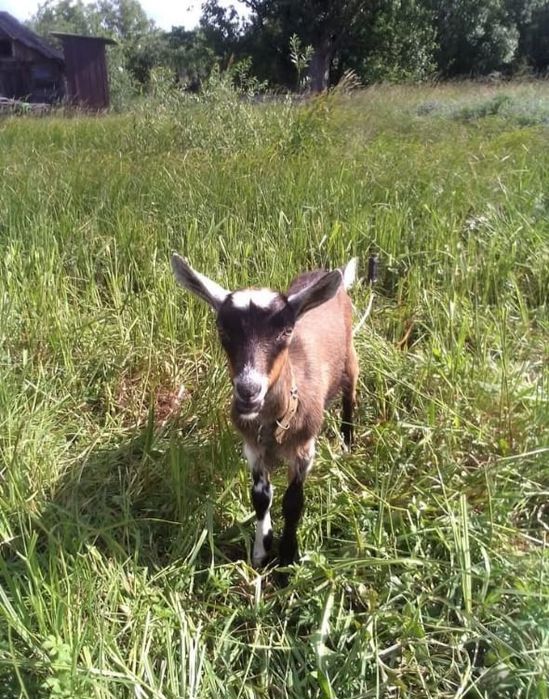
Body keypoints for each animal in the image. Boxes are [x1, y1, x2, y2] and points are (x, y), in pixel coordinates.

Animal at [171, 254, 359, 569]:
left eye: (286, 331)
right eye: (223, 330)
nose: (248, 389)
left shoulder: (304, 450)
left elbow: (293, 502)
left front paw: (287, 558)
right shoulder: (253, 448)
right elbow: (261, 497)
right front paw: (261, 550)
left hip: (351, 355)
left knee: (350, 393)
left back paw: (347, 441)